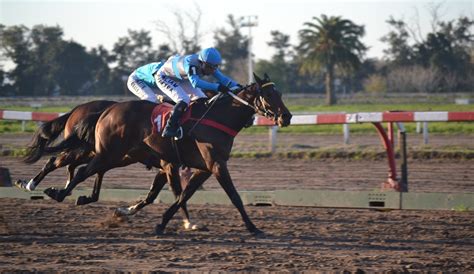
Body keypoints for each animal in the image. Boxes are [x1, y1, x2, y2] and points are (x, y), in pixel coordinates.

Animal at [46, 73, 292, 235]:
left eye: (280, 92)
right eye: (268, 93)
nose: (287, 116)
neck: (219, 117)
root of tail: (107, 109)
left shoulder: (201, 168)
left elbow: (180, 195)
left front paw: (162, 222)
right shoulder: (214, 164)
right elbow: (234, 197)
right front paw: (253, 227)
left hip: (117, 155)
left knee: (84, 169)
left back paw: (72, 194)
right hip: (108, 152)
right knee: (77, 170)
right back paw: (57, 192)